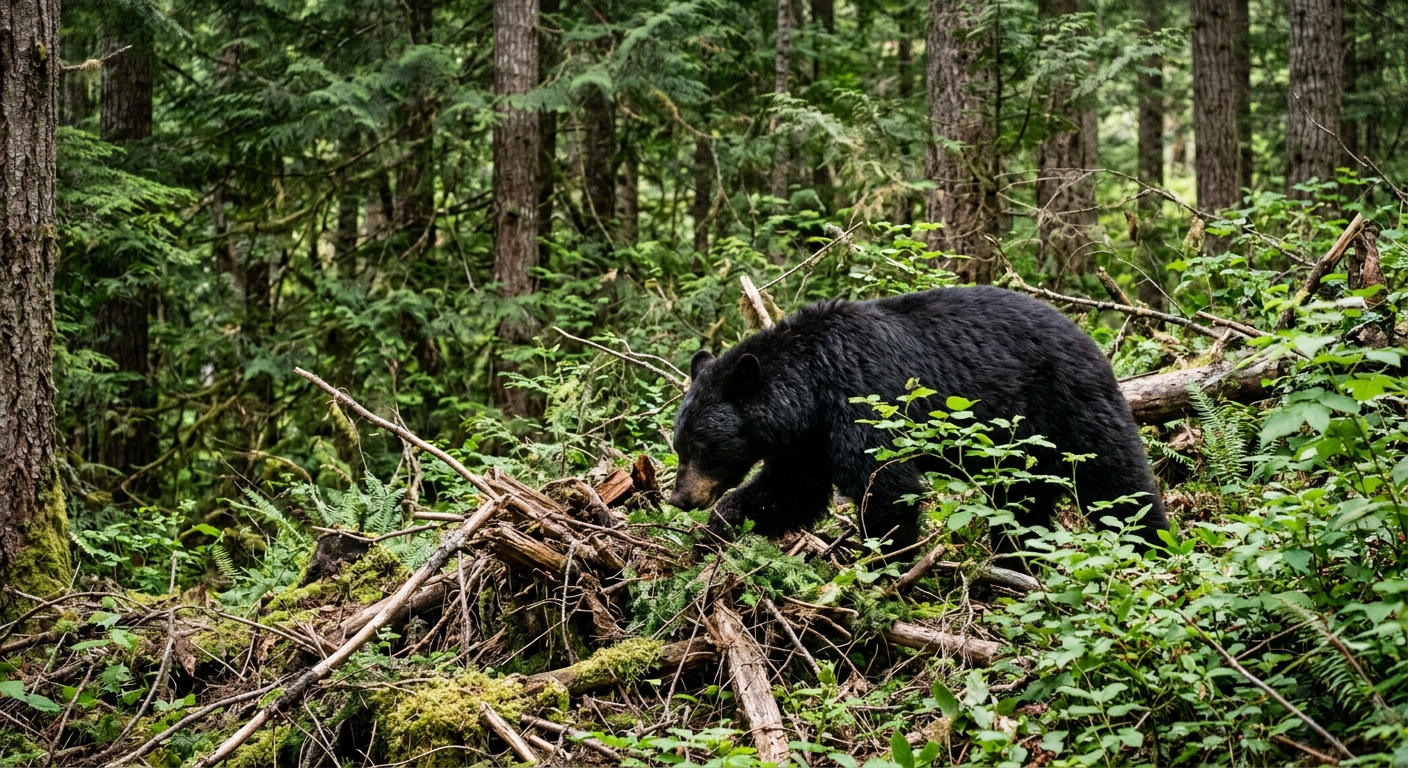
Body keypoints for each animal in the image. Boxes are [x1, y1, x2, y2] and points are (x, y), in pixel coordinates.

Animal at [667, 286, 1169, 559]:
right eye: (679, 445)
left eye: (704, 446)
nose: (679, 499)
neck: (811, 387)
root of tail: (1091, 339)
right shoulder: (808, 440)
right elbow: (789, 491)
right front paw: (712, 535)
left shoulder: (863, 399)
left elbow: (887, 486)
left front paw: (880, 563)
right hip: (1018, 448)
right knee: (1019, 501)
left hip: (1068, 406)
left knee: (1116, 481)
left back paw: (1152, 545)